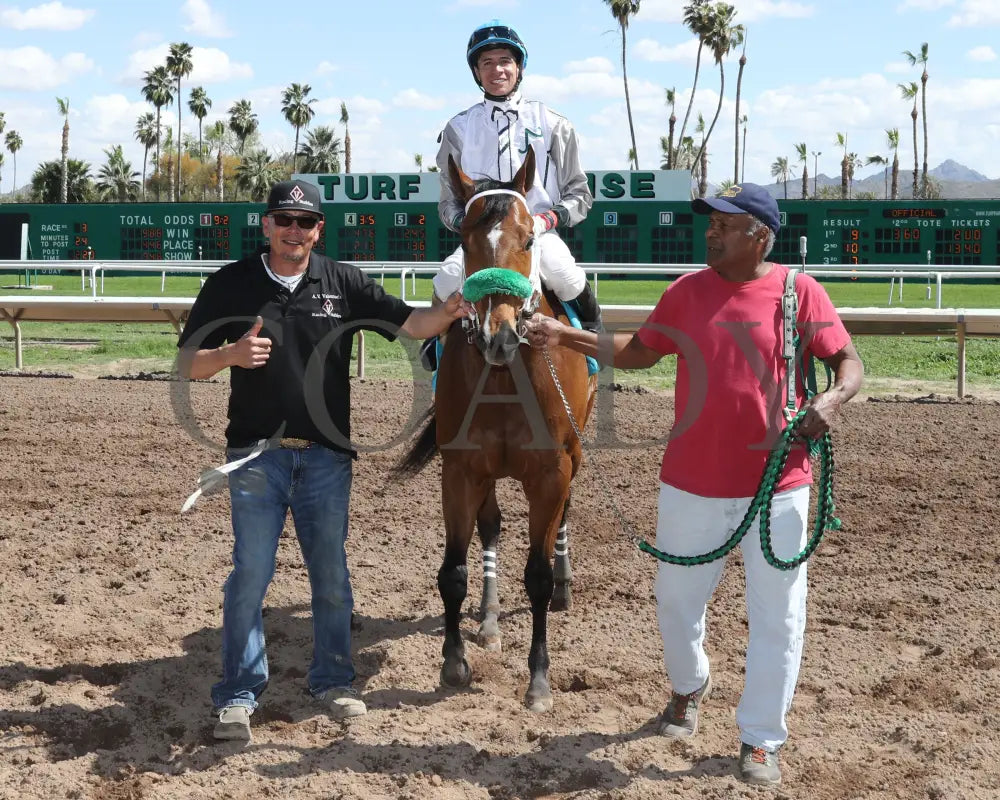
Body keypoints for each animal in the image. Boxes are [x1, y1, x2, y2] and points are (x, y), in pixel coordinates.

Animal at [394, 150, 592, 712]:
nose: (498, 337)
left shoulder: (552, 471)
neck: (505, 377)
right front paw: (454, 660)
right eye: (465, 241)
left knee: (565, 515)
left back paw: (565, 585)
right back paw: (487, 620)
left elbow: (538, 576)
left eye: (528, 239)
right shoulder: (462, 470)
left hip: (575, 452)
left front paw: (539, 679)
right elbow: (453, 572)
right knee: (491, 528)